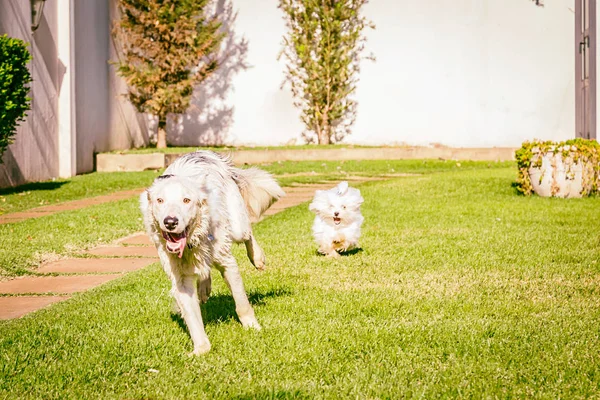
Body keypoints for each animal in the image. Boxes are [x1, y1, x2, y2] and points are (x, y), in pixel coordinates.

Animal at [139, 152, 284, 354]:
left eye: (186, 200)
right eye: (160, 201)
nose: (170, 222)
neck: (192, 243)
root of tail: (207, 153)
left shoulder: (228, 263)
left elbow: (242, 304)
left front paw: (253, 327)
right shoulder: (181, 280)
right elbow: (193, 319)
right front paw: (201, 349)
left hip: (237, 225)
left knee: (247, 232)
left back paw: (257, 257)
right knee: (205, 270)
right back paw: (204, 288)